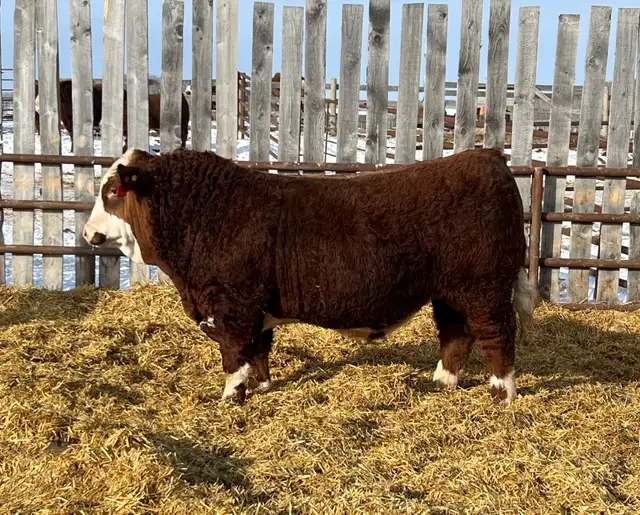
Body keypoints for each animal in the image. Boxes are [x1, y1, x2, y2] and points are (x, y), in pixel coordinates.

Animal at [83, 147, 537, 406]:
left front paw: (231, 396)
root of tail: (487, 156)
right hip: (450, 292)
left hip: (485, 287)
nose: (88, 234)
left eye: (113, 191)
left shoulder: (231, 304)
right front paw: (262, 387)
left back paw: (502, 394)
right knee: (456, 335)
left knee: (496, 335)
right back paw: (441, 383)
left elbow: (234, 354)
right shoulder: (255, 307)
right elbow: (258, 349)